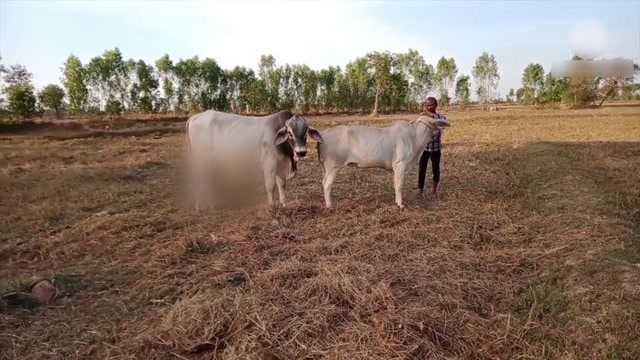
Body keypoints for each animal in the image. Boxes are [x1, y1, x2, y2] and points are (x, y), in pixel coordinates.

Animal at [188, 111, 322, 210]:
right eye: (289, 132)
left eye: (306, 130)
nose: (301, 152)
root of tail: (195, 117)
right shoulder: (269, 165)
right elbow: (270, 186)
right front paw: (272, 206)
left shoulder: (281, 165)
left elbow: (282, 185)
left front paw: (284, 204)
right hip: (201, 161)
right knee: (199, 180)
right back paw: (199, 207)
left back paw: (210, 205)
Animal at [316, 117, 448, 208]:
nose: (440, 131)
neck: (414, 138)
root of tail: (323, 134)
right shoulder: (400, 164)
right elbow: (399, 185)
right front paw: (400, 204)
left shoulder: (395, 168)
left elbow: (395, 184)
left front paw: (396, 201)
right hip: (333, 166)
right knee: (327, 184)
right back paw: (329, 205)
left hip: (326, 168)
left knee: (323, 182)